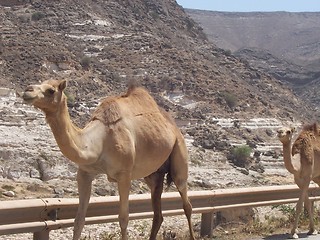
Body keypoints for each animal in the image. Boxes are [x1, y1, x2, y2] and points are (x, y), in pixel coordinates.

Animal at [22, 79, 195, 239]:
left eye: (51, 90)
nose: (27, 91)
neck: (100, 141)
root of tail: (173, 125)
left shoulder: (124, 175)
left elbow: (123, 218)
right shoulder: (84, 173)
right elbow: (79, 220)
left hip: (179, 155)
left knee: (187, 203)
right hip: (154, 175)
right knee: (158, 214)